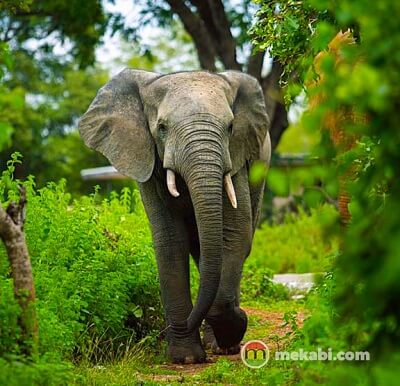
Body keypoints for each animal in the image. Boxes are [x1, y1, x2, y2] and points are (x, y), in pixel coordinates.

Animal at [77, 68, 272, 364]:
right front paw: (186, 359)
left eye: (230, 127)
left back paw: (220, 346)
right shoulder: (148, 165)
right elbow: (170, 241)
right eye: (162, 128)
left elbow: (234, 236)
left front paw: (234, 325)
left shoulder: (237, 161)